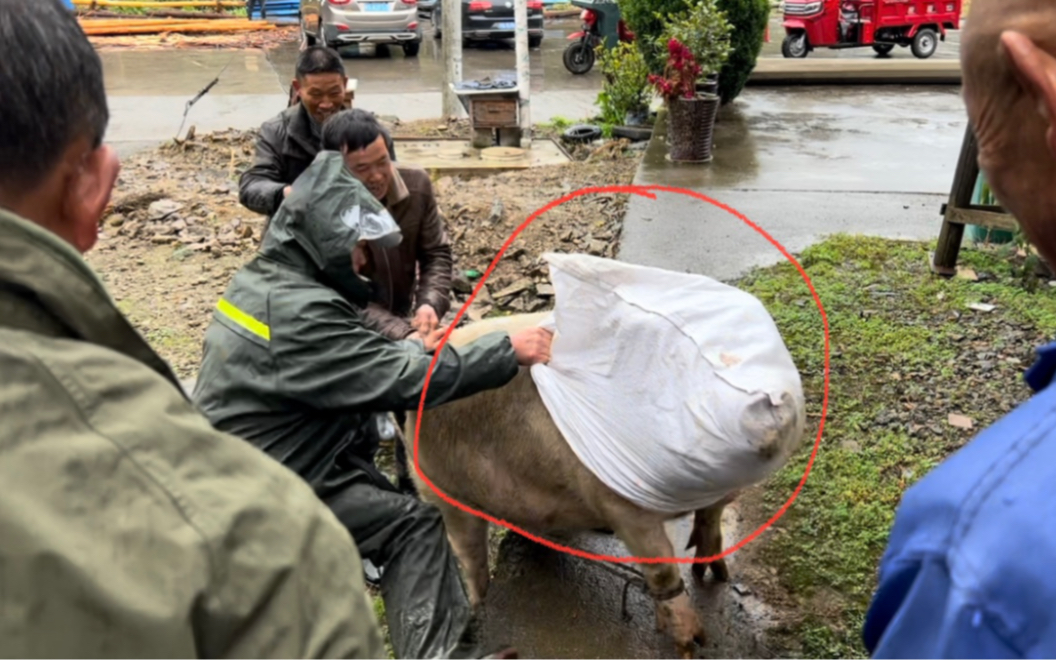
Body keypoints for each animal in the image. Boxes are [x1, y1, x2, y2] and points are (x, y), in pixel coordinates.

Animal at [403, 310, 798, 658]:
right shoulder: (621, 506)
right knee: (469, 558)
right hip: (443, 494)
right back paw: (477, 606)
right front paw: (691, 644)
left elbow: (710, 521)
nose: (771, 403)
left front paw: (716, 575)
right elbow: (661, 565)